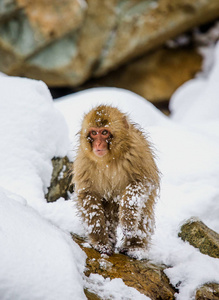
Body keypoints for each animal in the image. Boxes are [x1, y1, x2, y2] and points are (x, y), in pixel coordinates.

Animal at [72, 105, 160, 258]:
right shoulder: (84, 161)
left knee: (144, 211)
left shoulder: (137, 152)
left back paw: (135, 247)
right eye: (94, 133)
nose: (98, 144)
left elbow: (141, 184)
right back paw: (110, 238)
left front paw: (128, 220)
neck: (108, 160)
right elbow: (88, 195)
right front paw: (100, 242)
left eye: (104, 132)